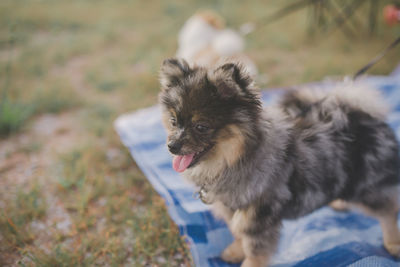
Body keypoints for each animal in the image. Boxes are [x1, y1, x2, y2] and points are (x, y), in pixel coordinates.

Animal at [158, 58, 398, 267]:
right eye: (173, 121)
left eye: (201, 126)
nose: (172, 146)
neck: (232, 162)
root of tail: (360, 114)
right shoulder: (233, 209)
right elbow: (238, 234)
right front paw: (235, 252)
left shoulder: (258, 218)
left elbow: (254, 252)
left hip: (370, 187)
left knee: (388, 211)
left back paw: (393, 243)